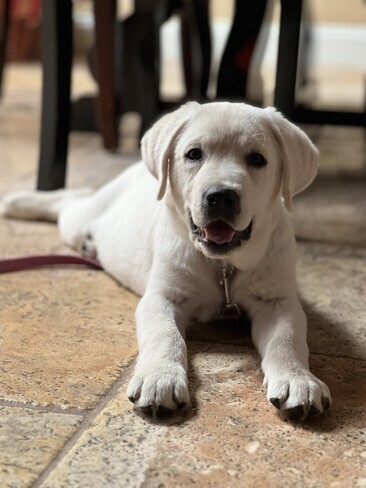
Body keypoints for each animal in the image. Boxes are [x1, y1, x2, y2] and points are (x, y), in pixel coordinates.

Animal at [2, 102, 332, 420]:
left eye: (257, 159)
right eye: (193, 154)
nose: (220, 196)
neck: (221, 264)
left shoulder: (278, 301)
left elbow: (287, 338)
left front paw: (298, 380)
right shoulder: (162, 296)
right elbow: (165, 334)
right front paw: (159, 380)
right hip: (80, 218)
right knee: (70, 199)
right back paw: (17, 203)